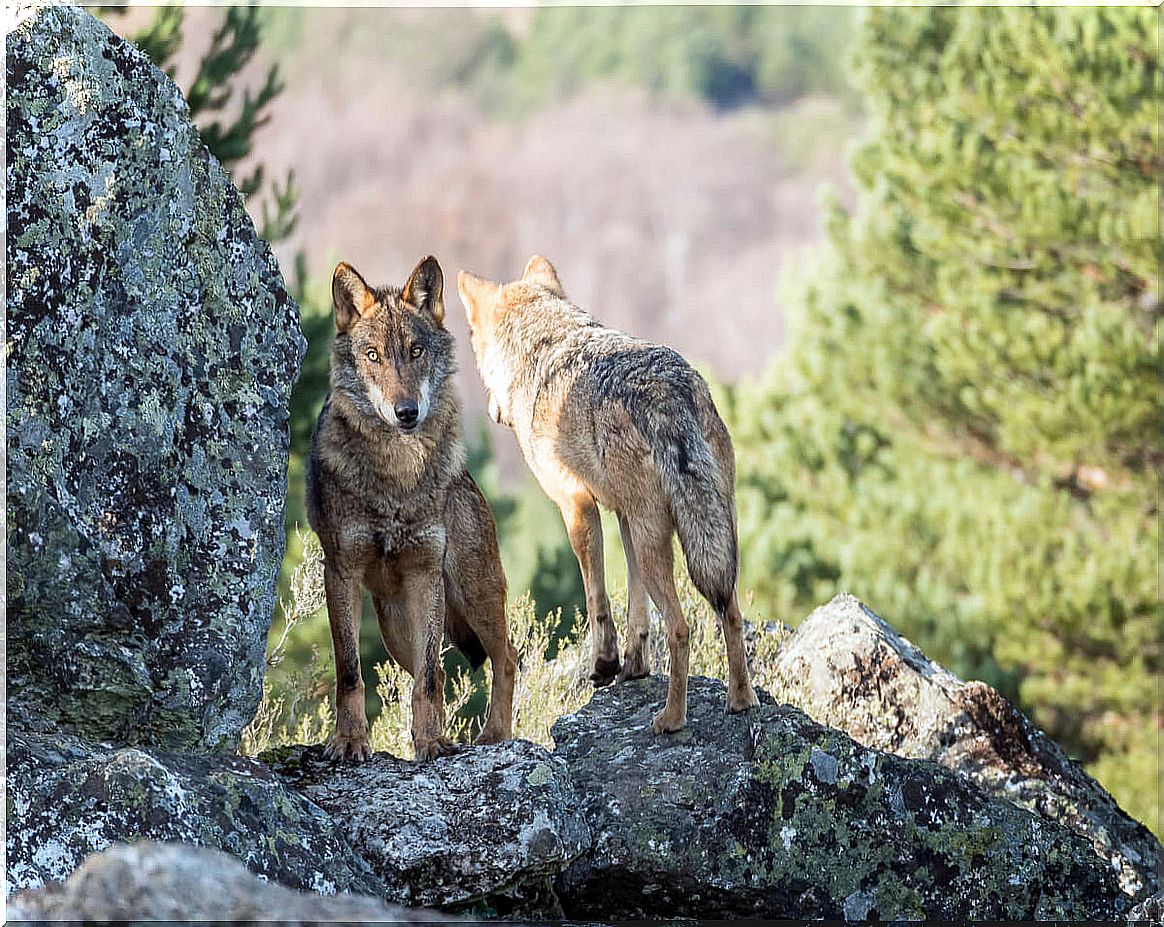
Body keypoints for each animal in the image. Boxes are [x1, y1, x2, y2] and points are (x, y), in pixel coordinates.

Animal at [307, 255, 516, 759]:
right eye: (373, 356)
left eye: (416, 350)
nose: (407, 412)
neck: (397, 478)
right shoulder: (340, 572)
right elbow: (350, 672)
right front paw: (350, 741)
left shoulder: (426, 572)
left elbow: (428, 682)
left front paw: (433, 744)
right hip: (395, 627)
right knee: (427, 670)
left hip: (472, 595)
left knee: (503, 659)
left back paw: (494, 736)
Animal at [458, 253, 758, 731]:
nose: (490, 411)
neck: (542, 346)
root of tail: (668, 397)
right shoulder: (622, 516)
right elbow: (635, 607)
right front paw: (633, 666)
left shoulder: (577, 505)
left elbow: (596, 596)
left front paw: (604, 664)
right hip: (712, 534)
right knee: (728, 611)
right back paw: (741, 700)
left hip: (664, 544)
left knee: (681, 628)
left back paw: (671, 718)